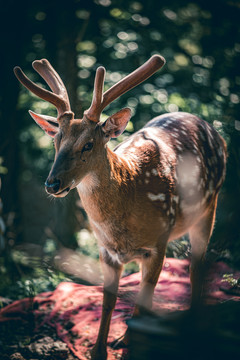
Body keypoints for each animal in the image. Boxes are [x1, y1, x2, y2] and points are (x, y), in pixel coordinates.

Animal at [14, 54, 226, 360]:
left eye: (88, 144)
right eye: (56, 141)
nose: (52, 184)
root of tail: (208, 126)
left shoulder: (158, 244)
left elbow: (145, 296)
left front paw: (130, 343)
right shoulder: (106, 251)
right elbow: (108, 301)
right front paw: (99, 349)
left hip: (209, 206)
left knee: (196, 266)